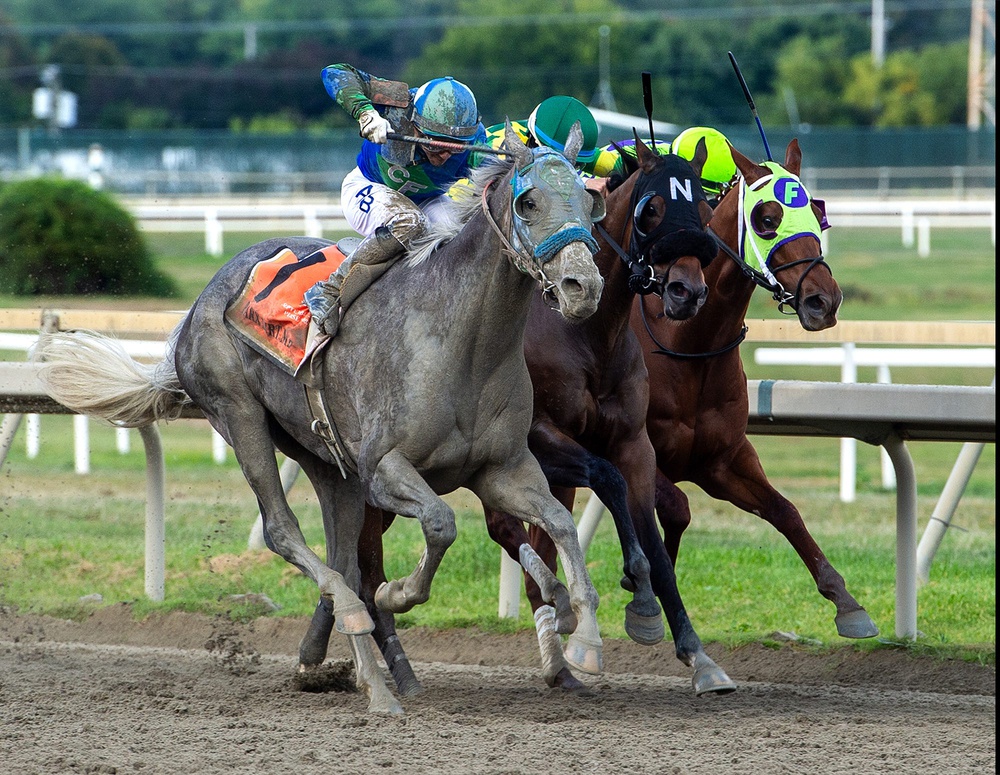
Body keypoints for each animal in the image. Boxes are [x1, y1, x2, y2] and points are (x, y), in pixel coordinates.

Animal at [38, 125, 611, 714]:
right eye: (528, 201)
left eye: (591, 200)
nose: (582, 287)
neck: (465, 342)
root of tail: (198, 305)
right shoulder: (384, 469)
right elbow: (440, 522)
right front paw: (398, 592)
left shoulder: (500, 469)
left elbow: (560, 522)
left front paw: (583, 633)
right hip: (240, 416)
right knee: (284, 531)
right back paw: (358, 631)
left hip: (324, 459)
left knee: (342, 556)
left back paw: (368, 676)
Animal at [295, 136, 737, 698]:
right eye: (651, 210)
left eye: (705, 209)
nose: (686, 291)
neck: (587, 337)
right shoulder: (542, 440)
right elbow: (605, 479)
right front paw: (616, 609)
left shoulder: (632, 442)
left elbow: (650, 533)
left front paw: (686, 645)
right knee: (368, 561)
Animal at [631, 138, 879, 639]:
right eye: (767, 218)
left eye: (818, 213)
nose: (824, 300)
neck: (686, 343)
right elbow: (674, 509)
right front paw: (649, 594)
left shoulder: (722, 460)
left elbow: (785, 511)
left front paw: (847, 603)